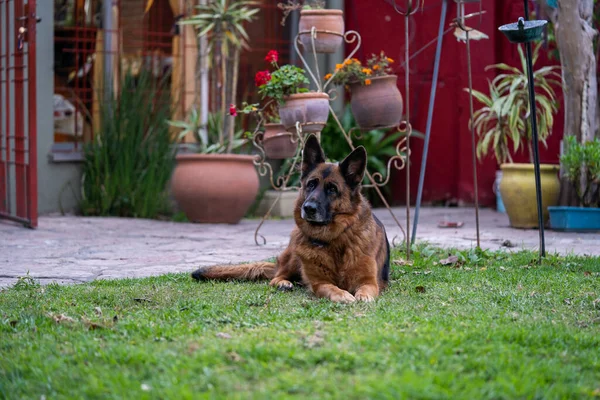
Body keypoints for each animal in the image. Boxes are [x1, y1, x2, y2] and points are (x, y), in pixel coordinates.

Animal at [190, 134, 392, 304]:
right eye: (311, 184)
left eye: (332, 189)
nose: (308, 208)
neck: (334, 240)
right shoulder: (319, 283)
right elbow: (330, 288)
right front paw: (343, 295)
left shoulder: (369, 282)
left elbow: (365, 291)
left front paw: (362, 298)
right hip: (293, 255)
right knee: (276, 277)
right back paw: (283, 283)